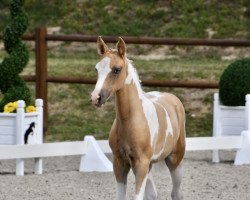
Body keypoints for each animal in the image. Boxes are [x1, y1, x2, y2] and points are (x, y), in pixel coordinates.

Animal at [90, 36, 186, 200]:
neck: (131, 120)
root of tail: (172, 98)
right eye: (97, 69)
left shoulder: (141, 164)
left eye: (117, 69)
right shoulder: (119, 163)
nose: (96, 97)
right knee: (152, 194)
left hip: (175, 161)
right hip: (150, 165)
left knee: (176, 193)